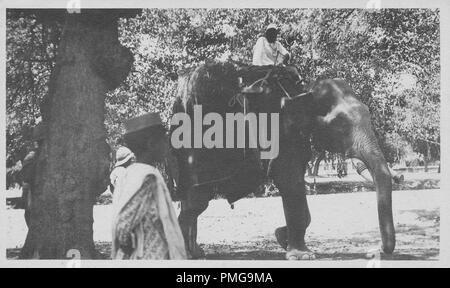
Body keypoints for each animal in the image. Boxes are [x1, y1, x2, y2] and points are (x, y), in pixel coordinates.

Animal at [169, 62, 394, 260]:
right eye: (340, 125)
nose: (377, 251)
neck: (301, 91)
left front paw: (281, 237)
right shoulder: (281, 132)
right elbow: (289, 180)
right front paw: (302, 256)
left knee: (191, 203)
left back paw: (196, 253)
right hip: (194, 153)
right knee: (196, 203)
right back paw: (183, 255)